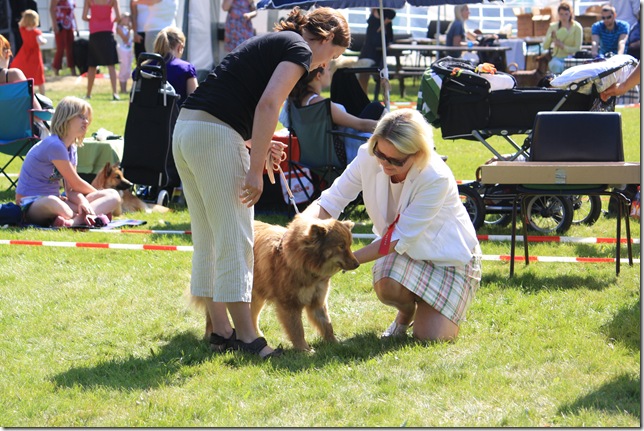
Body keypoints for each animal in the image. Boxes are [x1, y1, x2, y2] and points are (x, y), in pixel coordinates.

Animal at [191, 214, 362, 352]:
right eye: (341, 246)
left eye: (349, 245)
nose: (357, 264)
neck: (305, 262)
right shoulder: (289, 304)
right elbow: (297, 330)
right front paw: (304, 350)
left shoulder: (317, 301)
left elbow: (327, 325)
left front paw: (335, 344)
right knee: (211, 314)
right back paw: (211, 336)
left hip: (254, 295)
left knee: (251, 316)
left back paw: (257, 337)